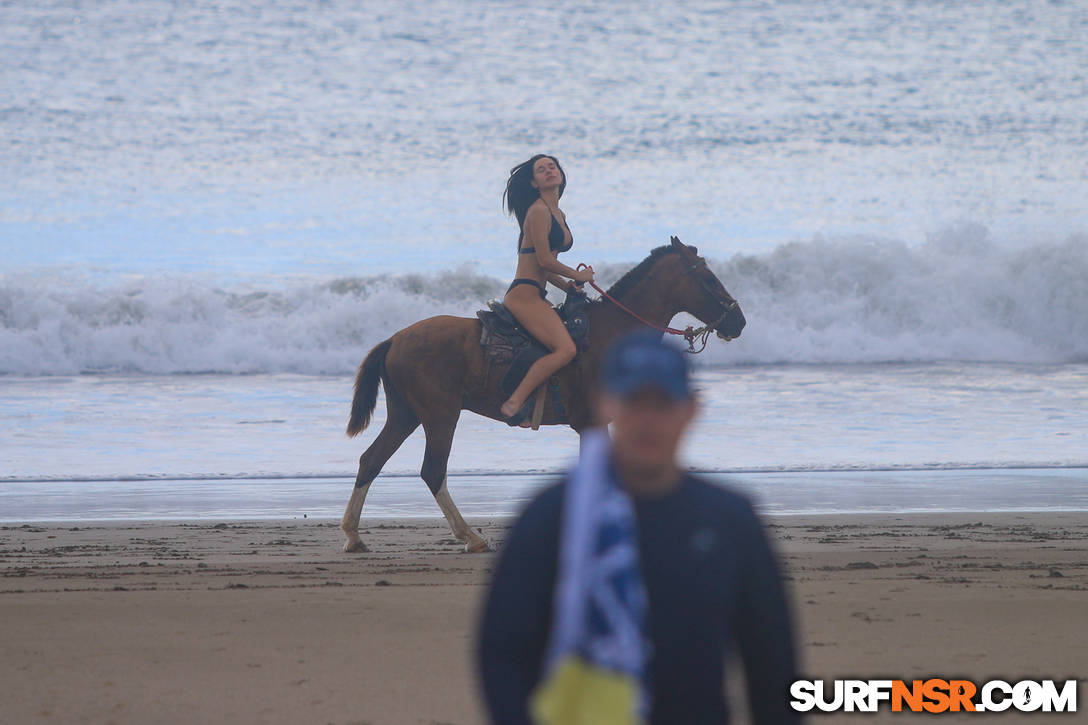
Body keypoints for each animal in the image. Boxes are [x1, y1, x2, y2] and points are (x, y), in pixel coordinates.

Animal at [343, 237, 744, 548]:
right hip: (440, 415)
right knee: (432, 470)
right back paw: (469, 536)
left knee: (371, 460)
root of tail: (395, 339)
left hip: (406, 414)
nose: (738, 321)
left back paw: (353, 535)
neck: (611, 335)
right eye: (708, 277)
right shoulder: (593, 424)